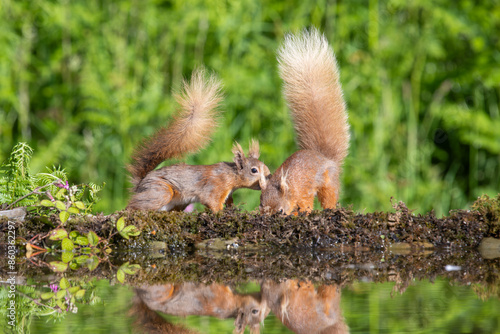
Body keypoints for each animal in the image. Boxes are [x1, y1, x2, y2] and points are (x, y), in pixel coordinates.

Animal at [127, 68, 272, 211]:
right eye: (254, 170)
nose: (270, 176)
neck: (232, 175)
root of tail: (141, 184)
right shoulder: (216, 185)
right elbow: (211, 201)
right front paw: (220, 212)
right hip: (161, 191)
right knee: (135, 205)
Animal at [260, 27, 350, 213]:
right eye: (260, 208)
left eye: (280, 211)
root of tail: (326, 157)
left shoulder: (302, 192)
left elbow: (306, 205)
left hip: (328, 183)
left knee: (329, 198)